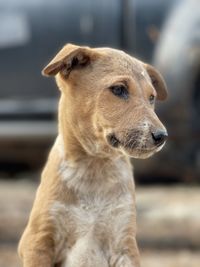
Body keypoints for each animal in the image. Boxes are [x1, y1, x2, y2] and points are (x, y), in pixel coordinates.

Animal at [18, 44, 167, 267]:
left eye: (152, 98)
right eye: (118, 89)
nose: (161, 136)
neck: (94, 168)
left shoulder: (124, 245)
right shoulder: (37, 241)